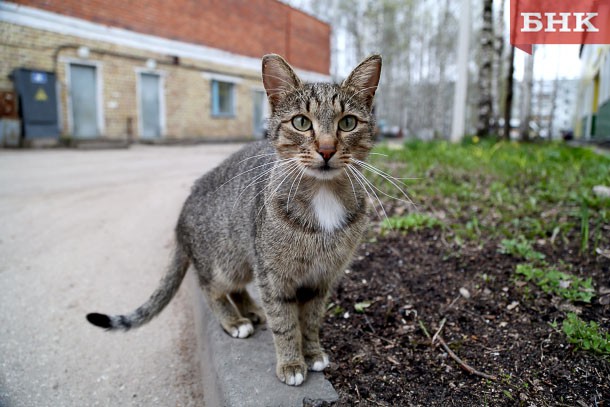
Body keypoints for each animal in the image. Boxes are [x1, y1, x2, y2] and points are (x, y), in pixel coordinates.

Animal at [86, 52, 380, 388]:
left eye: (348, 123)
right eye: (301, 122)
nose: (327, 149)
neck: (323, 195)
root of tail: (182, 213)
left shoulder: (322, 278)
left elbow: (311, 319)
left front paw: (313, 352)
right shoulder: (273, 276)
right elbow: (285, 322)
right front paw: (292, 362)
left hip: (244, 260)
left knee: (237, 288)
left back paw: (251, 309)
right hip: (227, 261)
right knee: (210, 287)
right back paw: (234, 320)